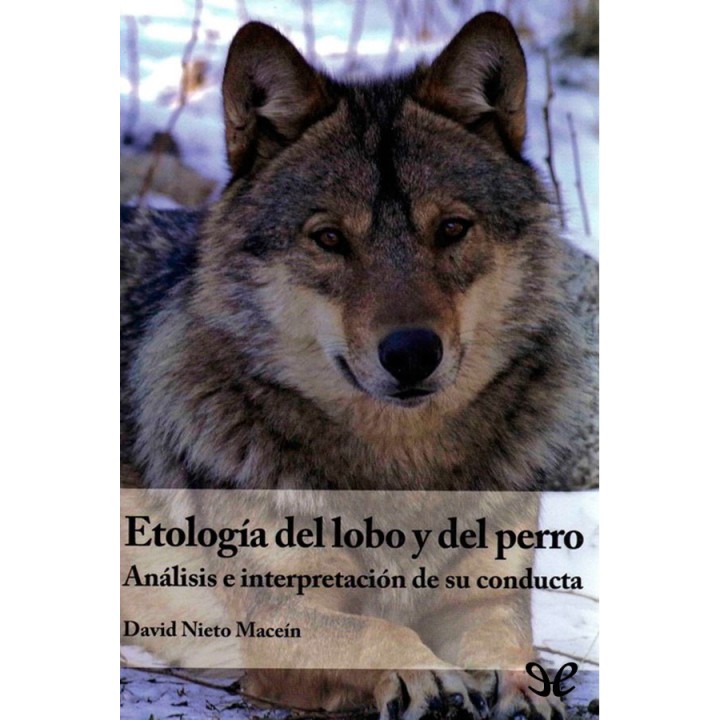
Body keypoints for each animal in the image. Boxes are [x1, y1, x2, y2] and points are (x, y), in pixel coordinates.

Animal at [122, 12, 590, 720]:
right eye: (330, 239)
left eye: (451, 229)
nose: (411, 352)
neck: (401, 469)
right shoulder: (279, 626)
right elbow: (375, 628)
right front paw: (427, 677)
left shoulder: (485, 596)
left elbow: (508, 644)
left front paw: (524, 692)